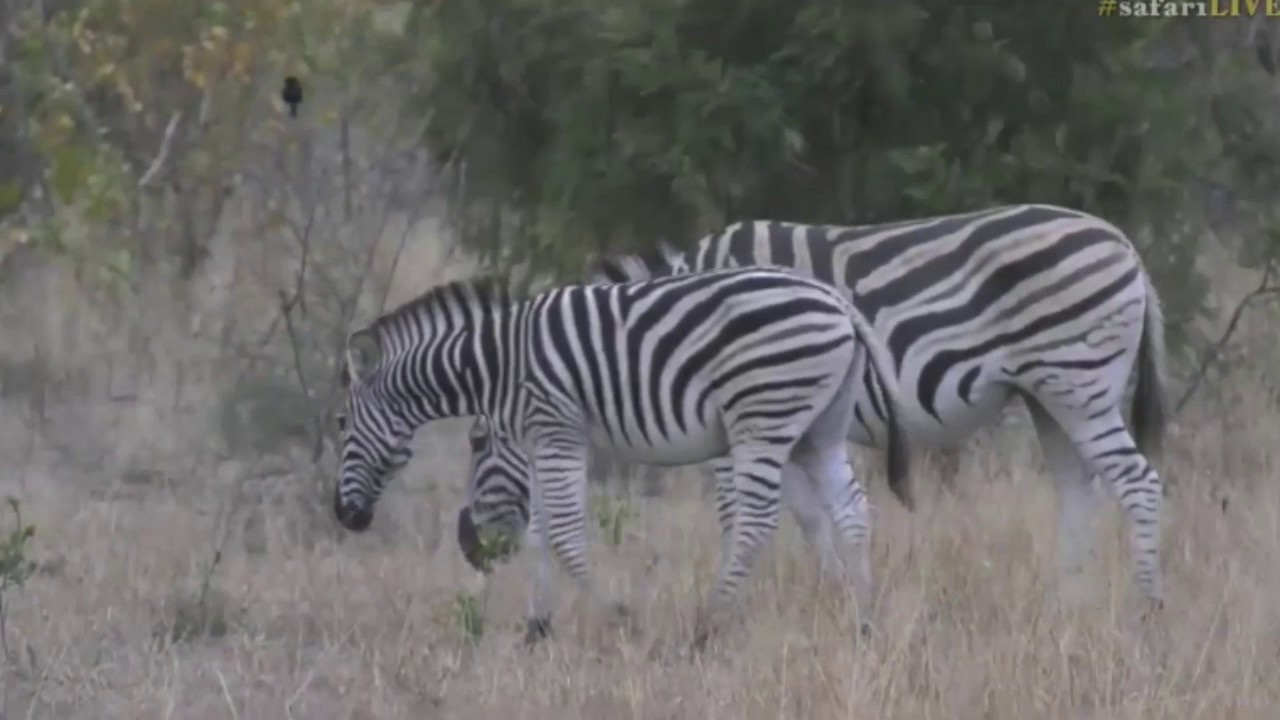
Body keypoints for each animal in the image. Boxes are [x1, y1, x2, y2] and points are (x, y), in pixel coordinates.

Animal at [333, 266, 911, 648]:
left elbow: (566, 536)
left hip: (763, 418)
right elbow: (541, 533)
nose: (344, 515)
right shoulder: (541, 442)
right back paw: (863, 621)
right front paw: (537, 627)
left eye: (340, 425)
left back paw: (709, 622)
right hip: (819, 429)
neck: (496, 364)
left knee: (757, 522)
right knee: (852, 511)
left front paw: (616, 616)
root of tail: (838, 302)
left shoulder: (558, 432)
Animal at [463, 204, 1170, 615]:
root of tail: (1127, 247)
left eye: (476, 438)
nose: (471, 549)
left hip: (1075, 381)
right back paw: (1066, 606)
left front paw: (753, 603)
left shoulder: (742, 420)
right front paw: (834, 593)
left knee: (1138, 483)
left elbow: (746, 514)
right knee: (1078, 491)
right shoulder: (788, 426)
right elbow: (811, 515)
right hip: (1050, 396)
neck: (658, 326)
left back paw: (1148, 609)